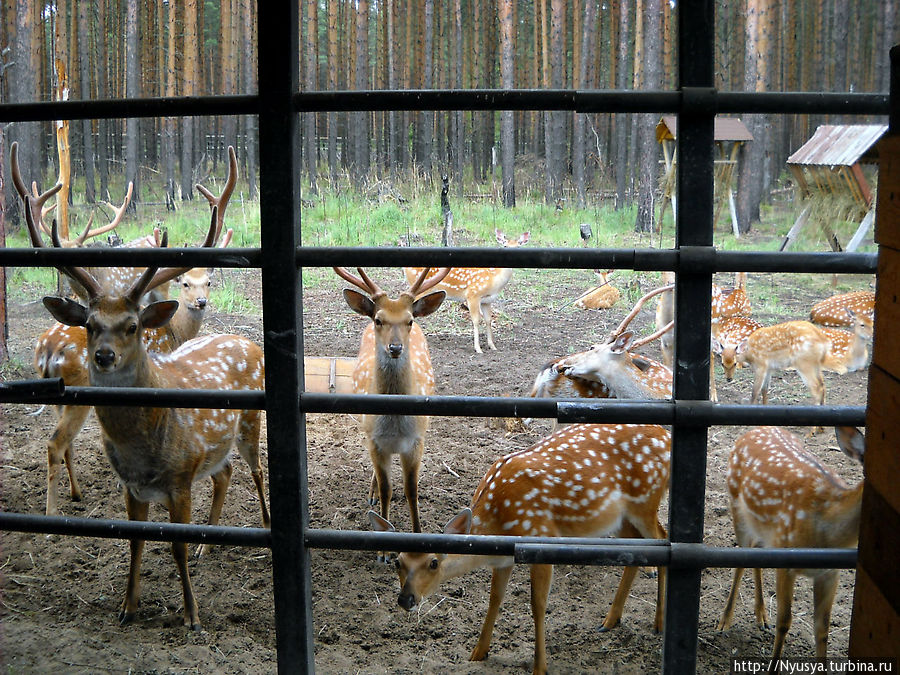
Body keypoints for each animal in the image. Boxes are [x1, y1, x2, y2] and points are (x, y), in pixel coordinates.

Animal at [26, 198, 268, 632]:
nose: (104, 356)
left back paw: (265, 527)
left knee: (256, 470)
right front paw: (128, 607)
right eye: (90, 324)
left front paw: (192, 616)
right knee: (223, 471)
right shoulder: (132, 486)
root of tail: (249, 342)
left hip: (249, 422)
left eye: (133, 325)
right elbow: (135, 540)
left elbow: (176, 545)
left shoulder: (181, 480)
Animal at [334, 264, 450, 556]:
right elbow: (387, 488)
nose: (395, 347)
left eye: (409, 321)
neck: (396, 422)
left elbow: (411, 490)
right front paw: (384, 550)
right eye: (379, 320)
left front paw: (419, 538)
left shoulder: (417, 441)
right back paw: (372, 495)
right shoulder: (374, 440)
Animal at [370, 422, 672, 675]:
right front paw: (478, 652)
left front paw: (540, 667)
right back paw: (610, 620)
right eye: (397, 561)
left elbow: (537, 605)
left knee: (663, 537)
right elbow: (495, 599)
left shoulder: (541, 540)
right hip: (618, 517)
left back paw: (659, 623)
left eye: (433, 562)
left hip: (645, 501)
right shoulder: (504, 558)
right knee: (638, 547)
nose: (406, 599)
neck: (498, 520)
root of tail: (667, 437)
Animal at [400, 228, 528, 354]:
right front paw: (478, 349)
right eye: (505, 246)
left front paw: (492, 346)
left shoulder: (487, 301)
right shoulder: (473, 294)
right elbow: (476, 320)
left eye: (519, 247)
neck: (494, 280)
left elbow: (488, 320)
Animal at [716, 428, 864, 660]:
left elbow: (822, 629)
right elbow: (784, 622)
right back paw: (724, 622)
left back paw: (761, 616)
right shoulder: (787, 559)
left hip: (764, 529)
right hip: (737, 508)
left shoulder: (830, 572)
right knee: (741, 558)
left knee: (755, 552)